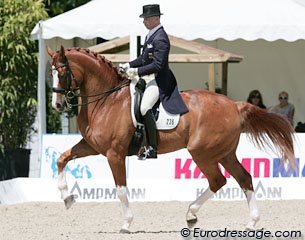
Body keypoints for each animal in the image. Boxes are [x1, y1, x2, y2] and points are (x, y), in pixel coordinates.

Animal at [45, 45, 294, 232]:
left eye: (63, 73)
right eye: (51, 73)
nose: (57, 105)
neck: (107, 100)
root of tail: (234, 104)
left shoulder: (114, 153)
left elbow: (121, 188)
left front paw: (126, 223)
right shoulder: (92, 146)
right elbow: (62, 158)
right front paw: (67, 198)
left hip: (202, 152)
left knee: (218, 180)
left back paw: (191, 214)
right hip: (224, 153)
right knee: (243, 178)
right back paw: (250, 222)